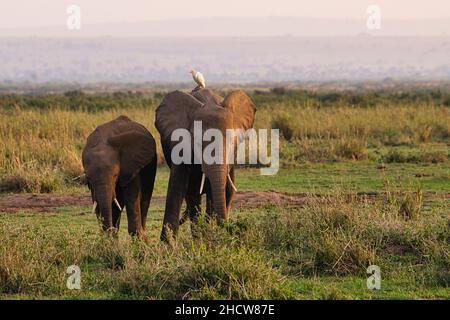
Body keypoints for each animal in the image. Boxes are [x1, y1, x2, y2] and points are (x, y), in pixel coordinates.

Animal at [155, 89, 255, 241]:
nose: (233, 228)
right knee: (192, 196)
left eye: (232, 142)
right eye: (197, 143)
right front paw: (168, 243)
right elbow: (178, 186)